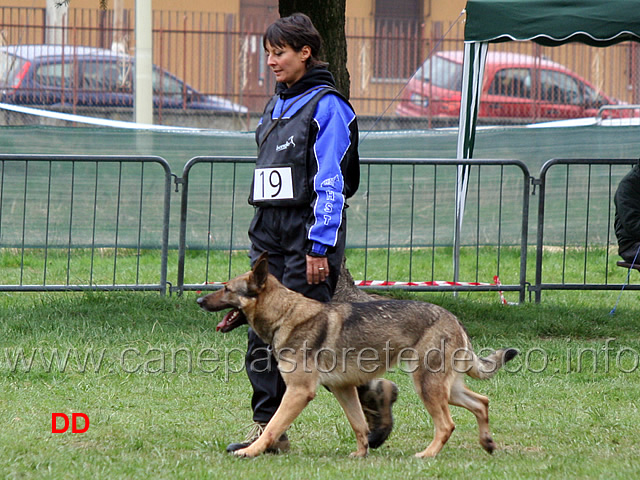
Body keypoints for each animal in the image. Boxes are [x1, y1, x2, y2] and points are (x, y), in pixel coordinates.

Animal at [198, 251, 516, 458]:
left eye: (226, 289)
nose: (199, 300)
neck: (284, 314)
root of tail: (453, 318)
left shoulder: (299, 392)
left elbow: (273, 426)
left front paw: (252, 451)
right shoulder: (343, 388)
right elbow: (358, 424)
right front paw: (362, 453)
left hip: (427, 386)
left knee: (447, 425)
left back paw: (427, 455)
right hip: (445, 388)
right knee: (482, 402)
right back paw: (487, 443)